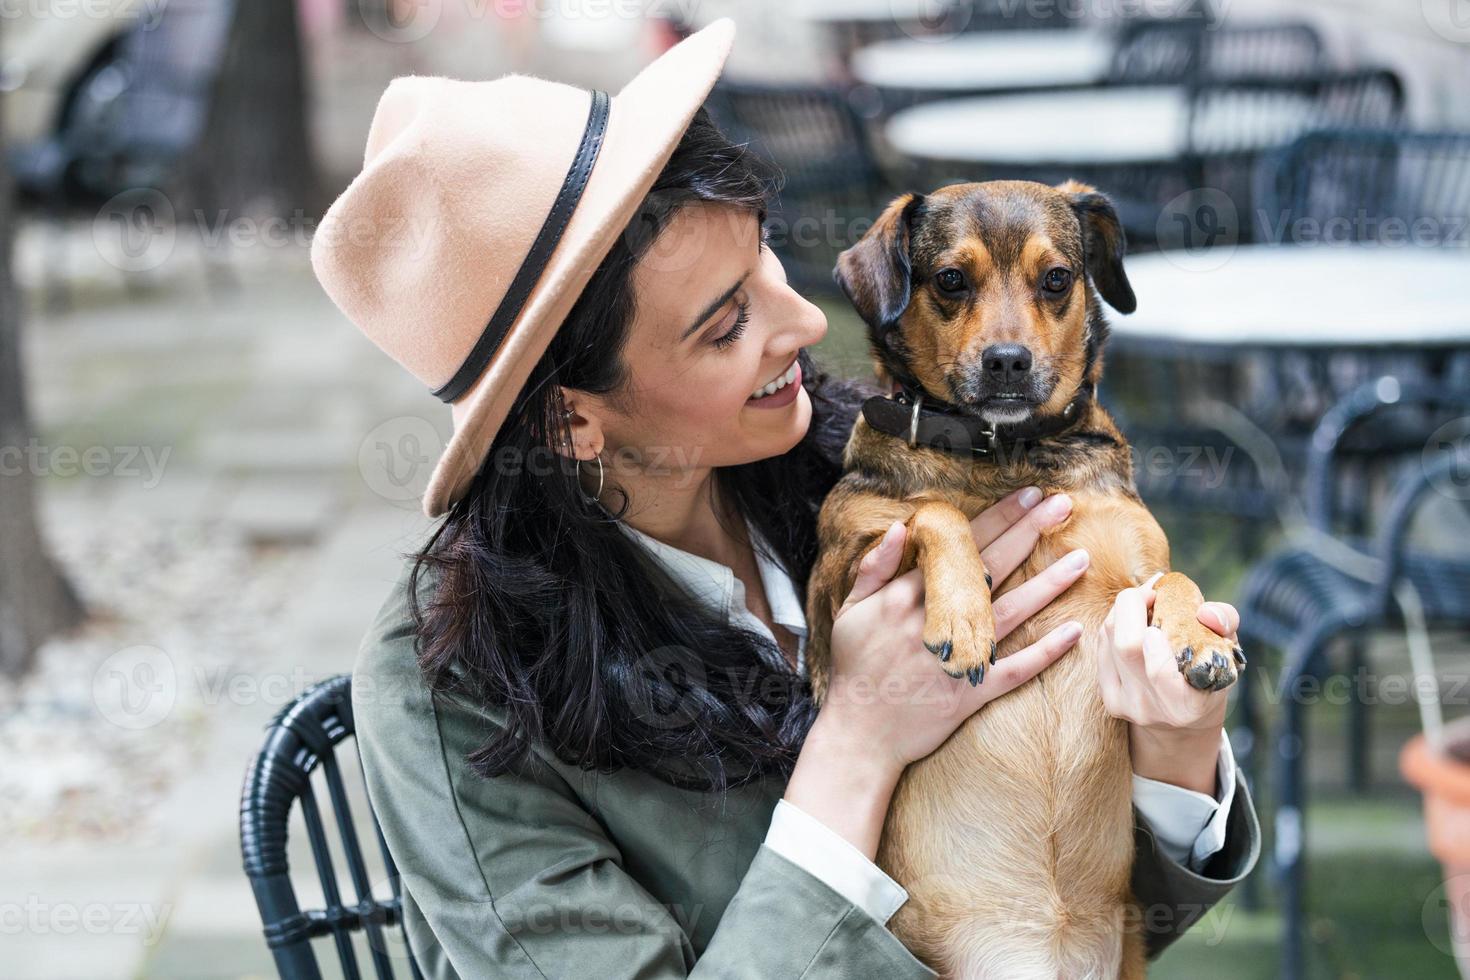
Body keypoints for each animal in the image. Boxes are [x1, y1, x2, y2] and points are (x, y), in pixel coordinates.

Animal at [805, 179, 1240, 975]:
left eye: (1057, 279)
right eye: (951, 279)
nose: (1007, 361)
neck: (1005, 454)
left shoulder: (1137, 568)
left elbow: (1176, 581)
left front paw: (1201, 638)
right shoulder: (833, 578)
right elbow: (932, 511)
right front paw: (966, 614)